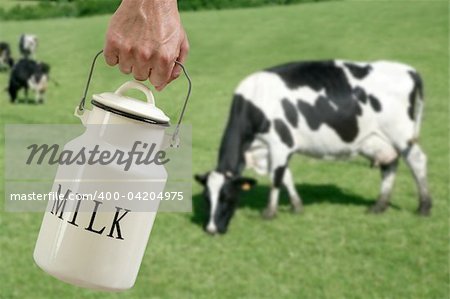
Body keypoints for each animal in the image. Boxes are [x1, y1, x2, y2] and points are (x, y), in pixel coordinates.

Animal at [196, 59, 432, 236]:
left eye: (227, 197)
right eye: (207, 199)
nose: (211, 229)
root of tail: (409, 70)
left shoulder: (280, 144)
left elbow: (276, 178)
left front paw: (269, 212)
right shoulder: (274, 149)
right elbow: (287, 177)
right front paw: (296, 206)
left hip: (402, 135)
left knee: (417, 161)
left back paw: (424, 207)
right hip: (381, 140)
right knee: (390, 165)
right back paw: (379, 206)